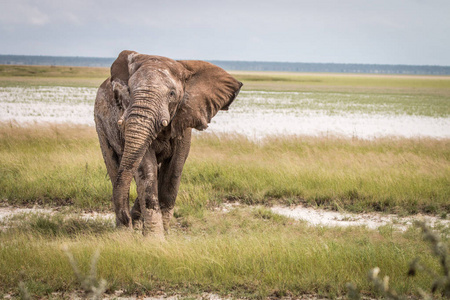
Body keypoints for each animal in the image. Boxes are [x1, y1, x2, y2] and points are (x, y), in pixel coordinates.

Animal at [93, 50, 244, 236]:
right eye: (129, 90)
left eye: (172, 94)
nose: (126, 219)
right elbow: (146, 168)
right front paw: (155, 239)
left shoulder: (185, 117)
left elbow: (174, 169)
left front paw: (164, 235)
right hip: (100, 124)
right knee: (114, 165)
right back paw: (124, 231)